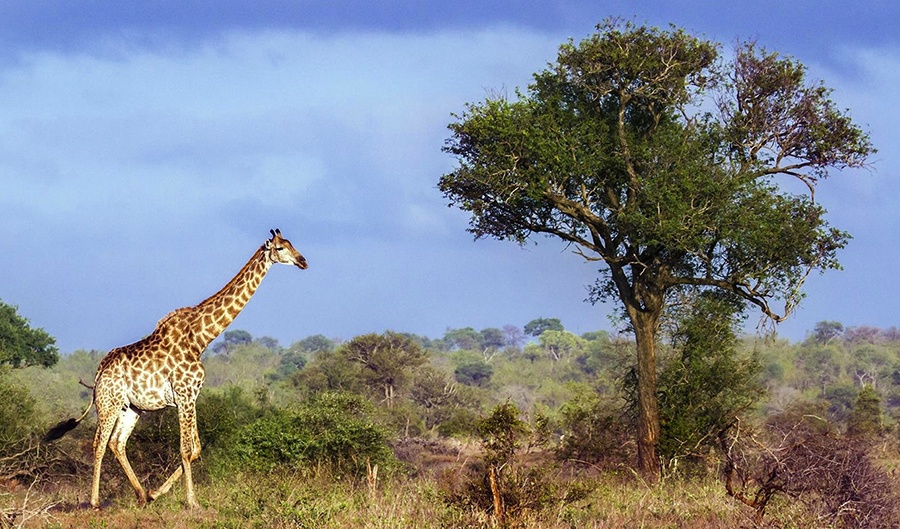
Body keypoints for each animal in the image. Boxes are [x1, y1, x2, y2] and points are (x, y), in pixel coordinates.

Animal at [46, 227, 310, 508]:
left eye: (292, 244)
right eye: (280, 248)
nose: (303, 261)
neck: (201, 338)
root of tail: (99, 372)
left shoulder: (191, 396)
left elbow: (196, 449)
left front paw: (156, 492)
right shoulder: (184, 394)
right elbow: (186, 449)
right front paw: (192, 502)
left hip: (132, 407)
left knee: (117, 443)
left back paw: (141, 495)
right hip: (109, 403)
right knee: (99, 442)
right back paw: (95, 501)